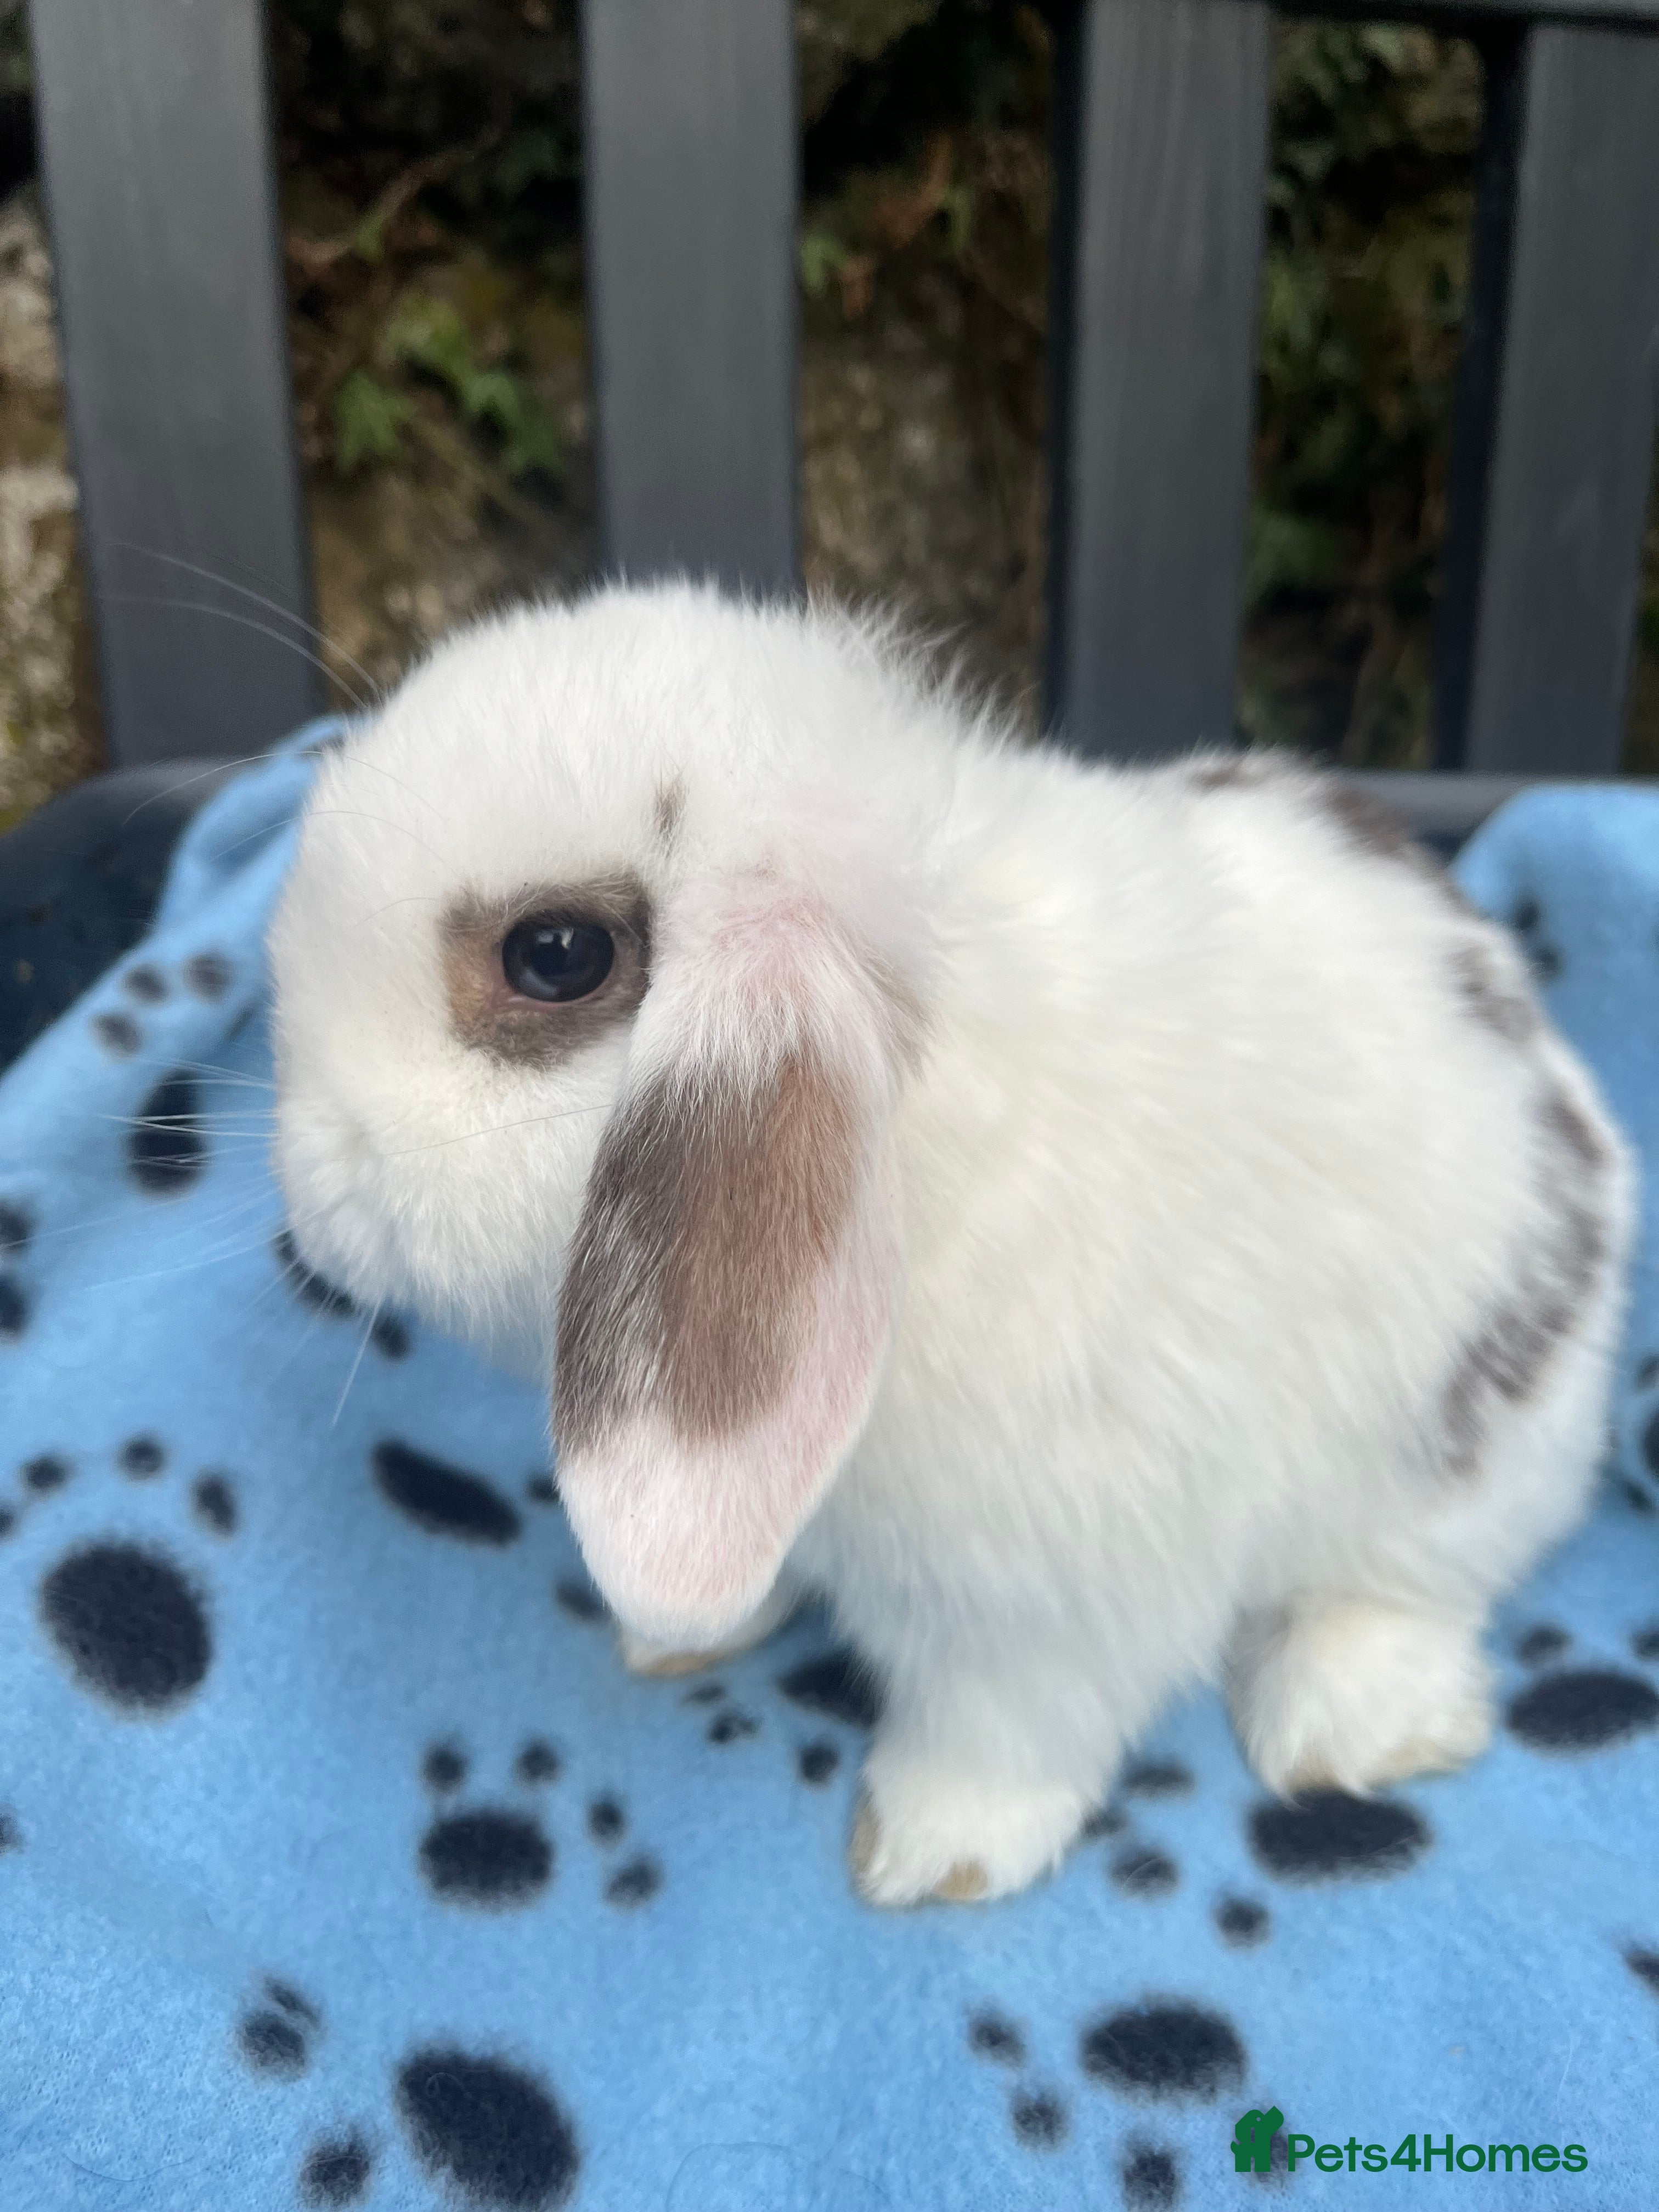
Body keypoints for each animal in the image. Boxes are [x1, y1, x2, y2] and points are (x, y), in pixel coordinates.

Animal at [269, 579, 1634, 1908]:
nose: (308, 1185)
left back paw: (1349, 1733)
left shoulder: (1054, 1601)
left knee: (1414, 1588)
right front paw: (678, 1639)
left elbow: (1010, 1734)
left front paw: (930, 1859)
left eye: (556, 955)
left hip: (1465, 1460)